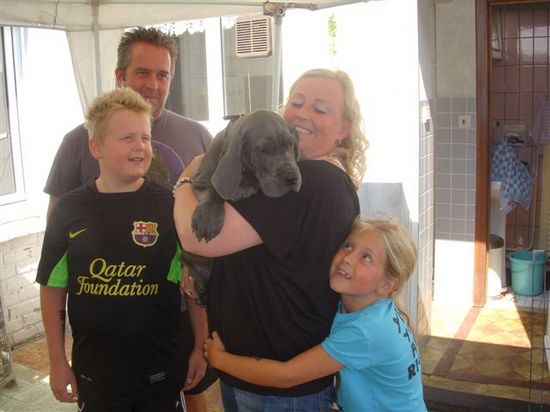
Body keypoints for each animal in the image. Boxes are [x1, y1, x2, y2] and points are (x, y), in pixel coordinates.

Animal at [180, 109, 302, 305]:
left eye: (290, 144)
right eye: (262, 150)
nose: (292, 178)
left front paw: (246, 186)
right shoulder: (199, 181)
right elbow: (214, 190)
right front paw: (208, 219)